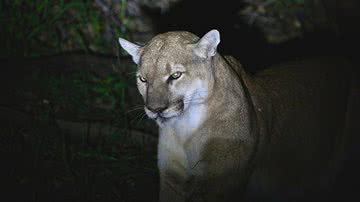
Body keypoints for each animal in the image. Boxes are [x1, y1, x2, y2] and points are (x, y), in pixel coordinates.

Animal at [119, 29, 358, 201]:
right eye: (143, 79)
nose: (155, 109)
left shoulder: (218, 183)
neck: (184, 130)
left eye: (175, 75)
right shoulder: (173, 180)